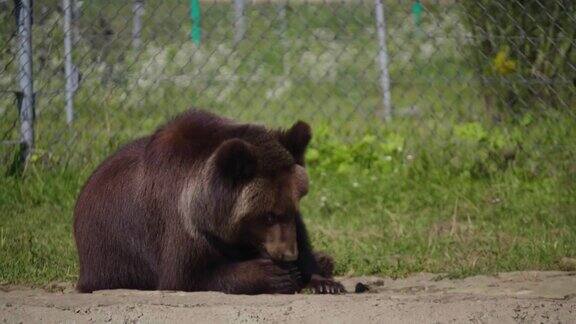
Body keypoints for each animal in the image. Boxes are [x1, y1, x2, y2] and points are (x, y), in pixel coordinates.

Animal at [72, 110, 342, 294]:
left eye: (290, 208)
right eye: (267, 215)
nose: (287, 255)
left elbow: (303, 240)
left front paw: (324, 281)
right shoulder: (180, 223)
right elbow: (187, 276)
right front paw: (274, 274)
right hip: (109, 255)